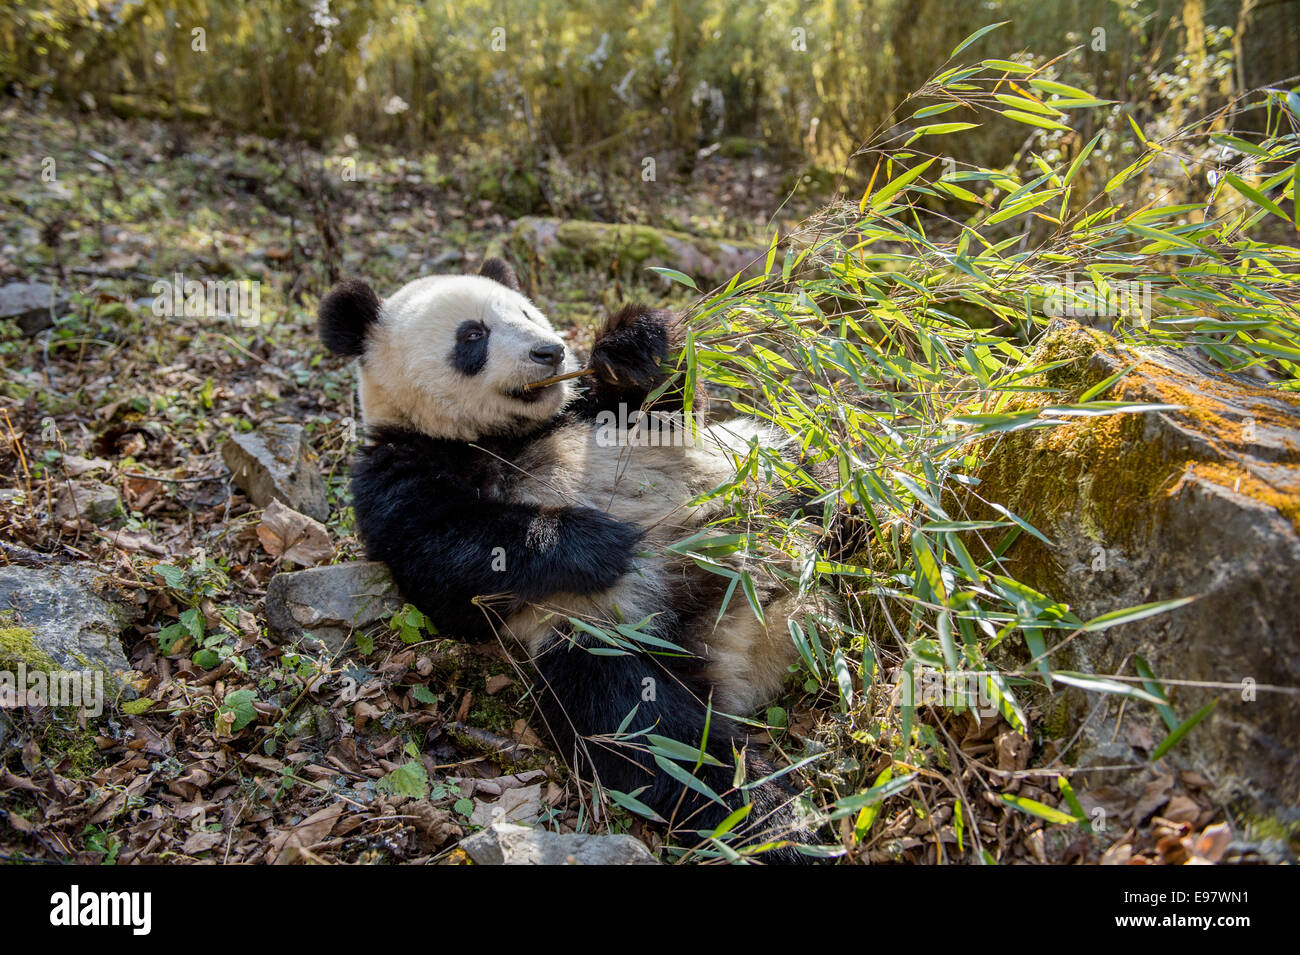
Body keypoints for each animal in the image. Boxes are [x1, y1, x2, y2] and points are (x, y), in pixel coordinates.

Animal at [322, 257, 832, 862]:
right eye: (472, 336)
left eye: (526, 312)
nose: (550, 352)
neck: (499, 435)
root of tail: (751, 643)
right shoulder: (397, 469)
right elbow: (445, 563)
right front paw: (598, 542)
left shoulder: (590, 414)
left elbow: (667, 405)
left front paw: (632, 347)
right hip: (601, 634)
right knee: (662, 738)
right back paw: (776, 826)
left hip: (758, 469)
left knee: (827, 478)